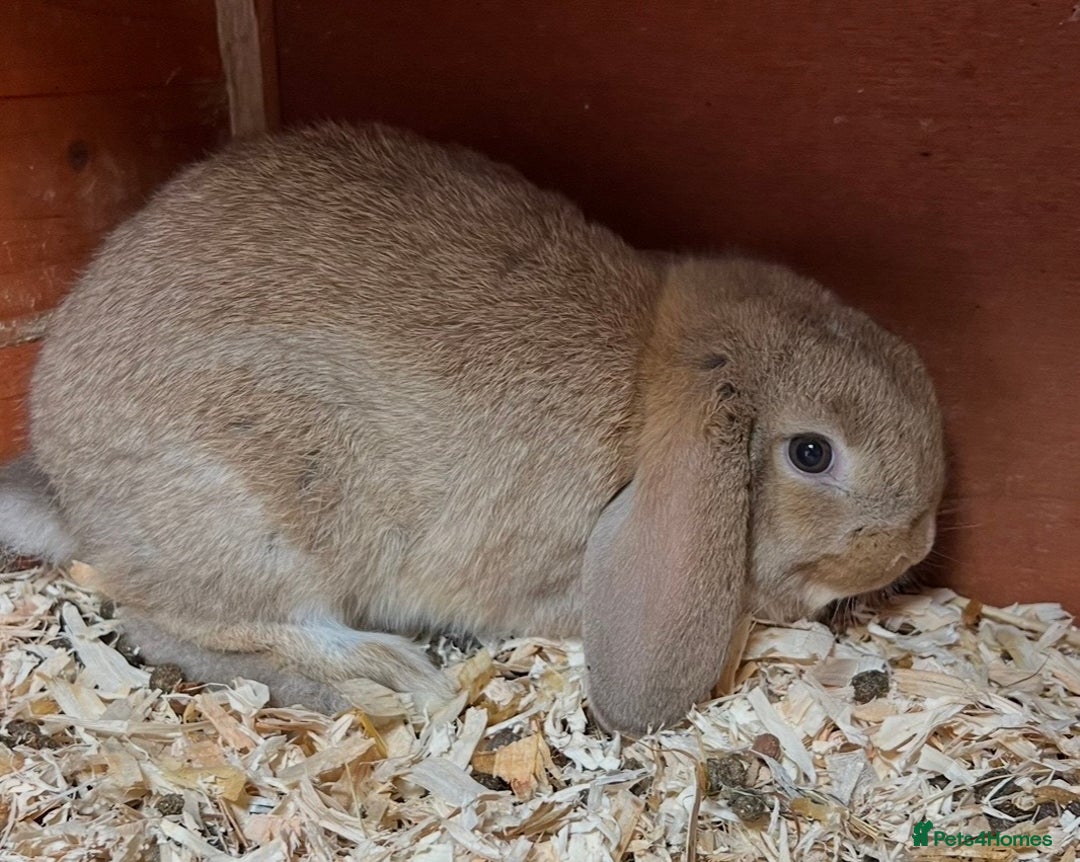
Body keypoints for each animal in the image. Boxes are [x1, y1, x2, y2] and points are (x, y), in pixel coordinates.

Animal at [0, 123, 945, 735]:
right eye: (812, 453)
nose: (916, 541)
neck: (653, 389)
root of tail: (68, 486)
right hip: (259, 518)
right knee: (171, 622)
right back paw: (389, 675)